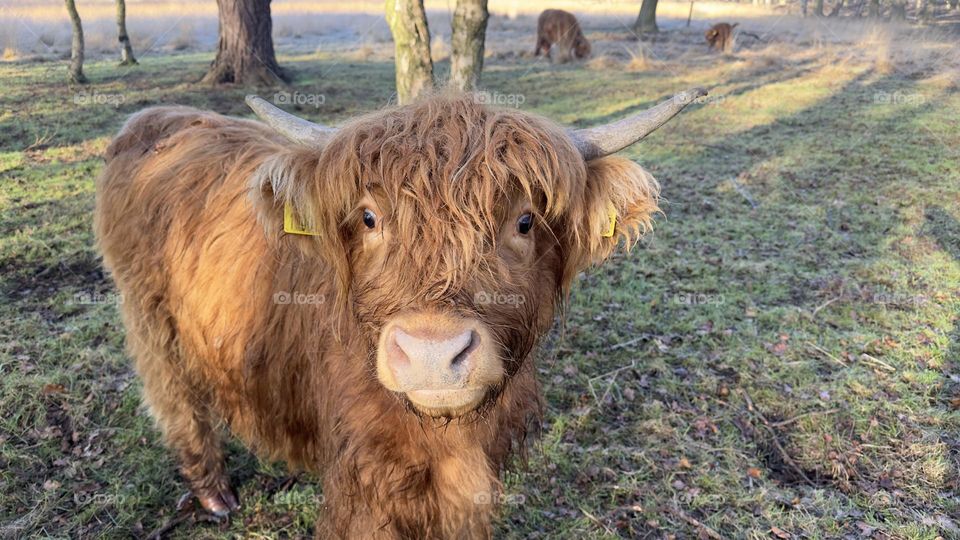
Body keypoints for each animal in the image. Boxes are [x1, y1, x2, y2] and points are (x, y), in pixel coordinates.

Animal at [94, 87, 705, 538]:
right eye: (369, 218)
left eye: (525, 220)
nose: (433, 354)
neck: (442, 438)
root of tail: (152, 118)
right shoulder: (366, 482)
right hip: (149, 318)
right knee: (177, 401)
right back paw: (214, 493)